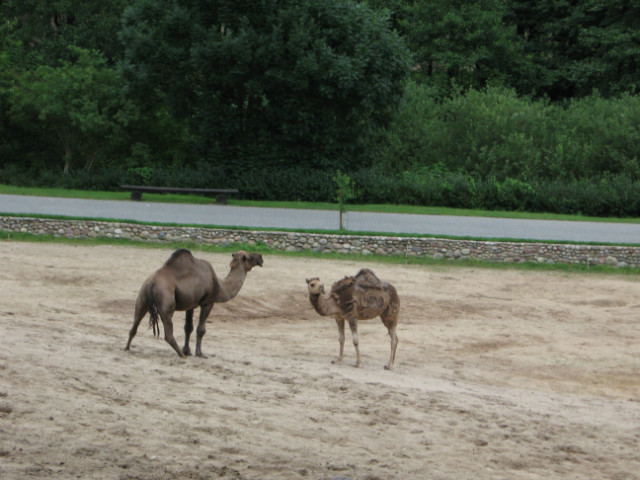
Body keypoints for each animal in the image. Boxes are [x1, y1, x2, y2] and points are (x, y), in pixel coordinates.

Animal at [125, 249, 262, 358]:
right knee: (168, 332)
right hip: (165, 301)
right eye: (250, 256)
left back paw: (126, 347)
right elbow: (200, 329)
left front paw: (188, 351)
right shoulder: (208, 302)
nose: (260, 257)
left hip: (142, 298)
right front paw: (199, 353)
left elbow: (188, 327)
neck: (219, 286)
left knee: (134, 325)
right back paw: (181, 355)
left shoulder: (190, 304)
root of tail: (152, 283)